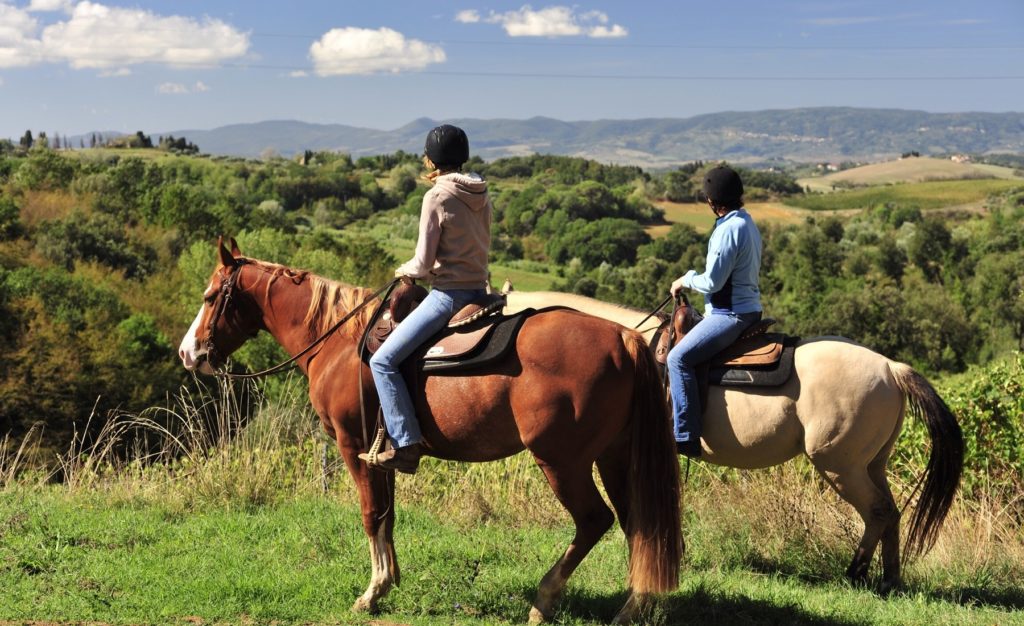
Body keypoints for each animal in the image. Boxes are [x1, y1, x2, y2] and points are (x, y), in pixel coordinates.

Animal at [180, 238, 684, 622]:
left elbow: (371, 514)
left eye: (210, 297)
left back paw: (545, 600)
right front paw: (390, 580)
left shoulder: (351, 444)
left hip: (562, 461)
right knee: (639, 525)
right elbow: (388, 515)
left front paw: (372, 592)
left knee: (595, 521)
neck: (339, 341)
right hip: (614, 455)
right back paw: (632, 608)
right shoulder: (381, 452)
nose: (189, 353)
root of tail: (624, 338)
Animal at [507, 288, 962, 594]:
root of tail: (891, 368)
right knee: (891, 512)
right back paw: (889, 579)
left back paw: (856, 573)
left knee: (878, 511)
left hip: (840, 466)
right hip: (872, 463)